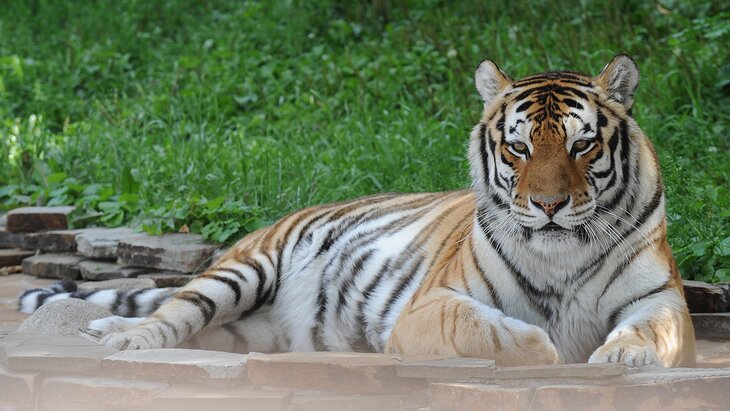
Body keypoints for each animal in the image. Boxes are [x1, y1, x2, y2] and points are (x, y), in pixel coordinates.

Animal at [19, 55, 696, 367]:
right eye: (519, 147)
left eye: (582, 146)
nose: (549, 205)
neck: (560, 254)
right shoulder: (431, 306)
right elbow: (486, 327)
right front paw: (546, 346)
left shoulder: (660, 301)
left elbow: (650, 331)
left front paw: (620, 354)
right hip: (243, 272)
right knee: (175, 311)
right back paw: (124, 337)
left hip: (251, 329)